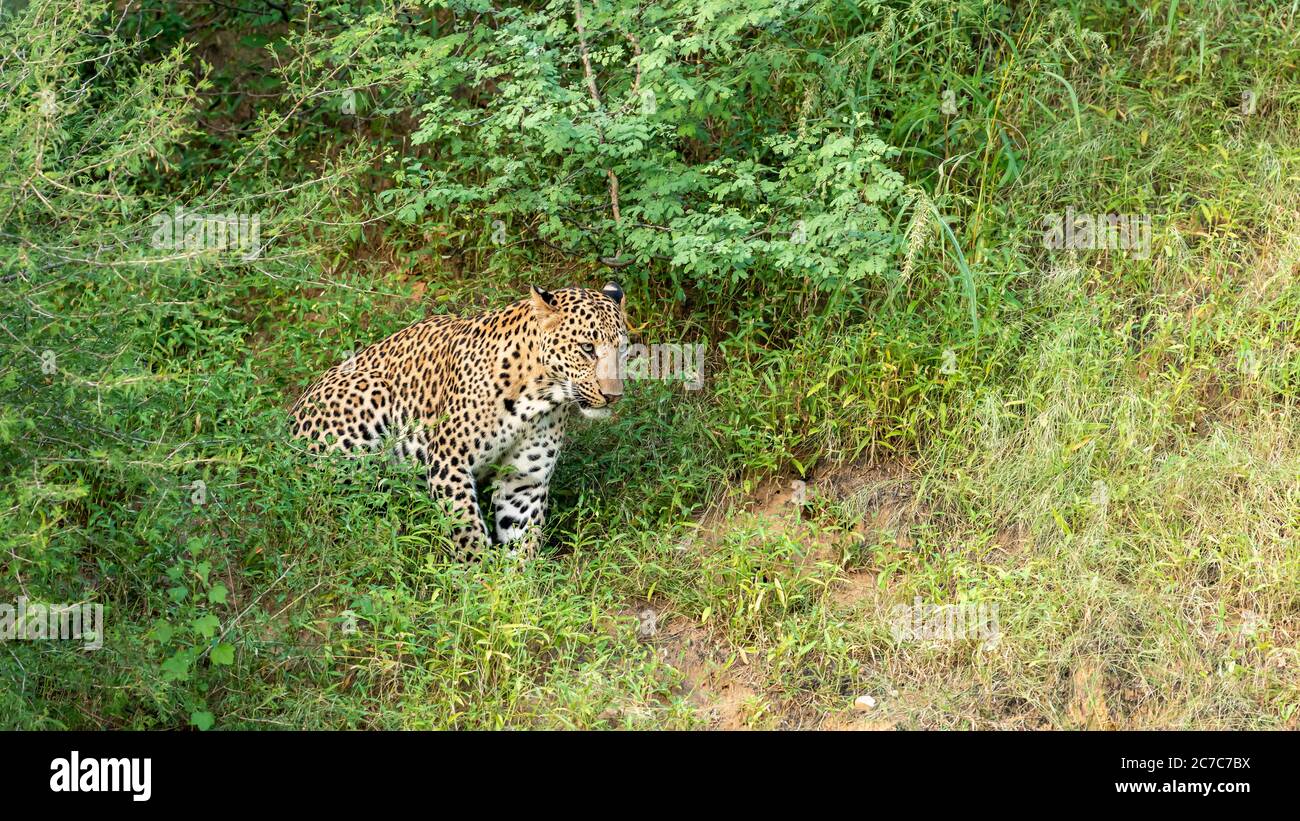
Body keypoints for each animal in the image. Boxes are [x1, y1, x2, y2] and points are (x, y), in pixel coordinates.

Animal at [288, 280, 629, 558]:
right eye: (587, 348)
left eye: (622, 349)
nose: (613, 395)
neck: (539, 398)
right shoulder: (448, 462)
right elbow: (467, 528)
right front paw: (477, 578)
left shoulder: (524, 480)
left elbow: (523, 537)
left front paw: (516, 587)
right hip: (368, 396)